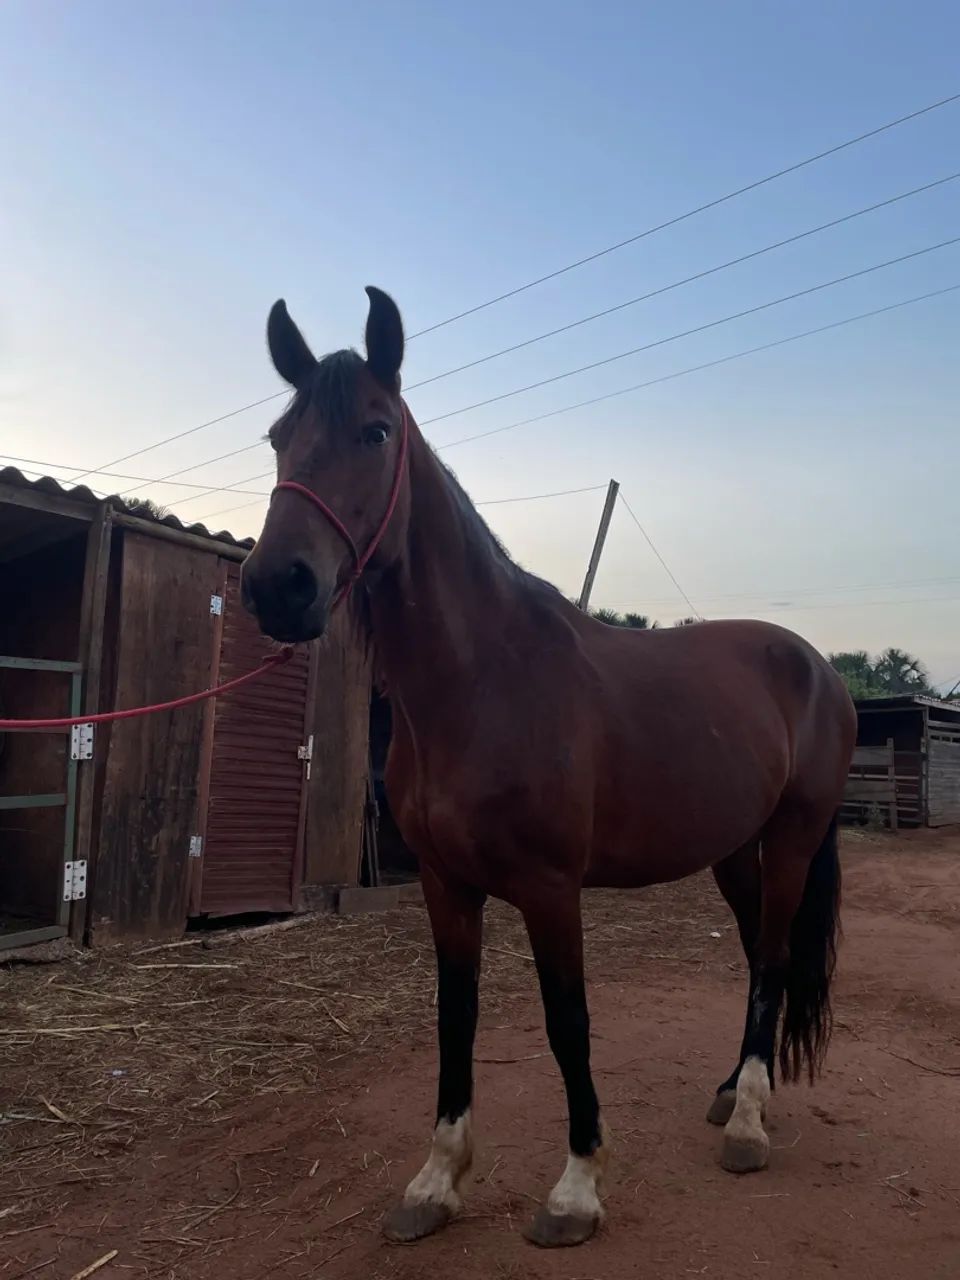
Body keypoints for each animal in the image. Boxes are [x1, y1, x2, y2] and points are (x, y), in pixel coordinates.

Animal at [241, 287, 857, 1248]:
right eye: (278, 436)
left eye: (376, 431)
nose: (279, 586)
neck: (484, 679)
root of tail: (816, 665)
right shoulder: (446, 886)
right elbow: (455, 1018)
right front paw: (435, 1183)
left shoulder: (549, 887)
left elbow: (569, 1023)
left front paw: (575, 1191)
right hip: (733, 849)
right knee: (761, 951)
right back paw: (730, 1094)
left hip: (793, 837)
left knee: (776, 956)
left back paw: (751, 1123)